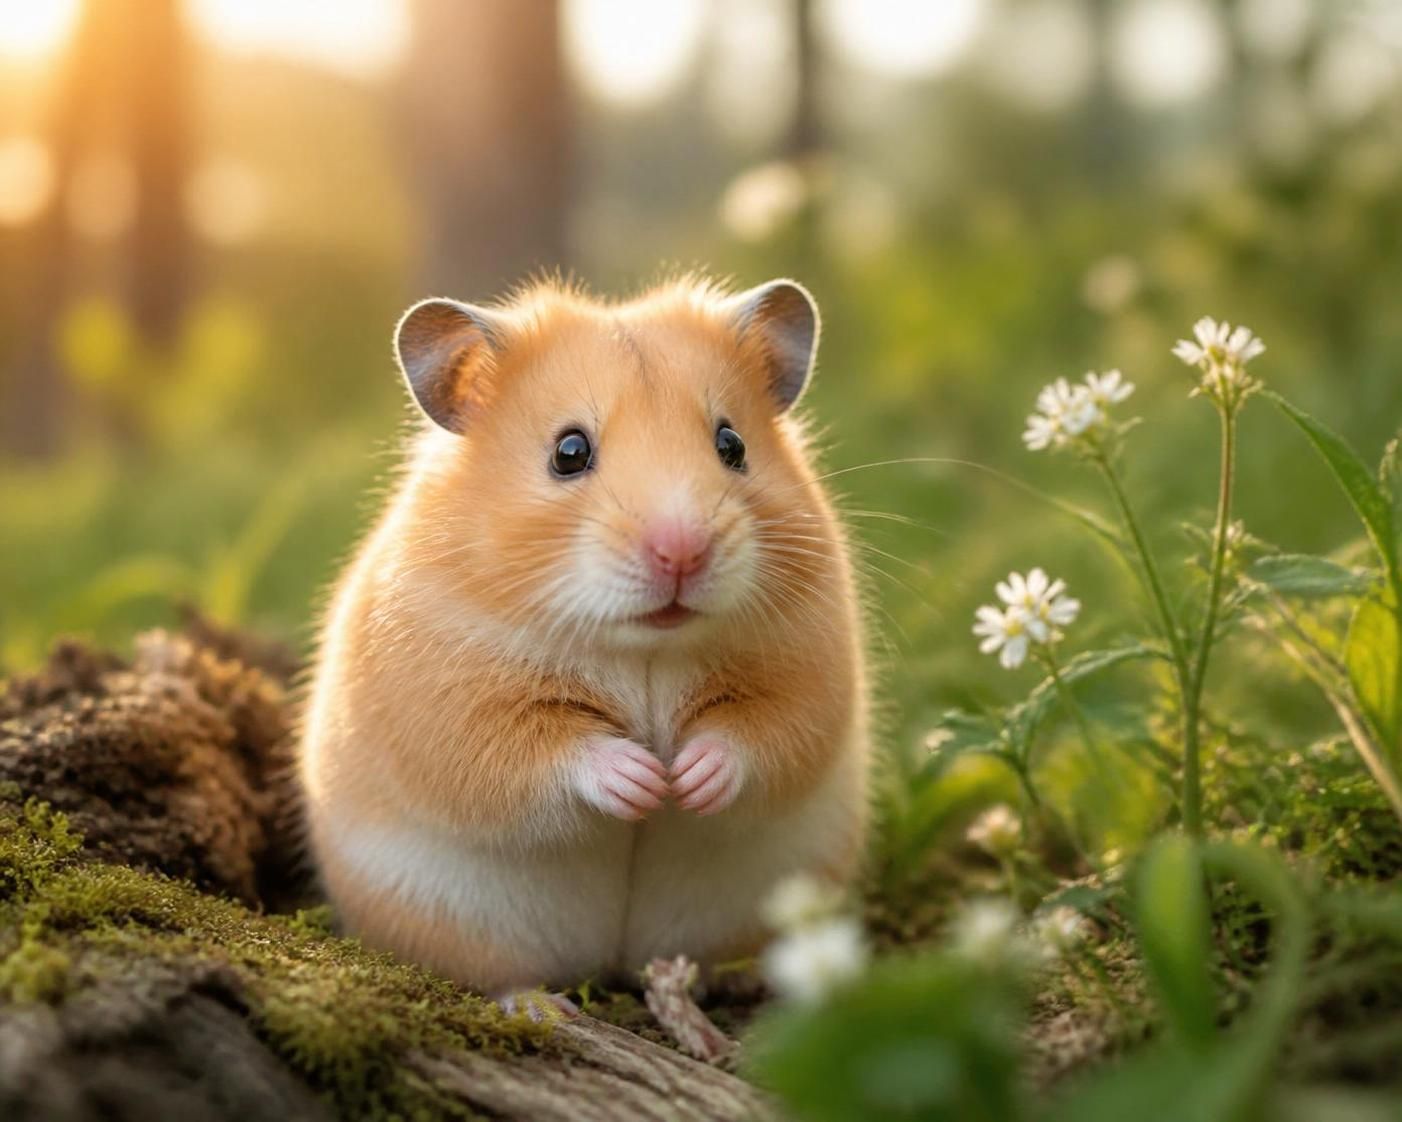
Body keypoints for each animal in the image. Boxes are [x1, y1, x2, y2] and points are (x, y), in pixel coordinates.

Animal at [298, 276, 870, 1001]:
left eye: (733, 445)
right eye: (569, 453)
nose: (682, 552)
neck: (645, 645)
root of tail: (610, 964)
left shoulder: (809, 666)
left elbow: (759, 732)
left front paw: (686, 781)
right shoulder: (452, 703)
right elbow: (543, 751)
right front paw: (646, 782)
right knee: (501, 980)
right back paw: (547, 1009)